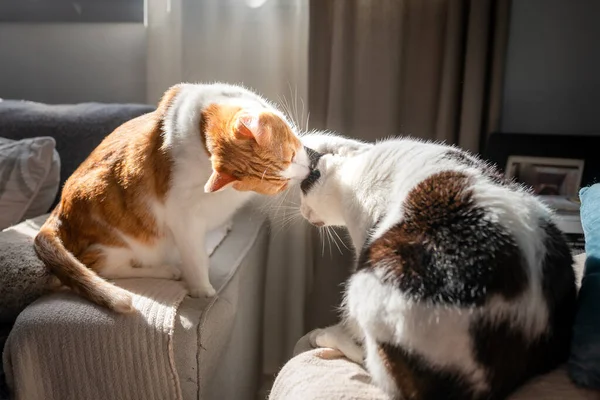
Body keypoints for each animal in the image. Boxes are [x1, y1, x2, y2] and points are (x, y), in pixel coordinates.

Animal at [35, 82, 312, 312]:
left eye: (291, 156)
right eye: (279, 181)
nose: (308, 171)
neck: (200, 131)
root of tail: (58, 210)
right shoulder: (182, 215)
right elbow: (194, 257)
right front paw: (201, 290)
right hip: (116, 240)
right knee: (102, 266)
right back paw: (168, 270)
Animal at [300, 134, 576, 400]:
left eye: (302, 189)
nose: (302, 212)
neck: (358, 163)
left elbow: (352, 326)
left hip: (372, 280)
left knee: (374, 364)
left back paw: (326, 337)